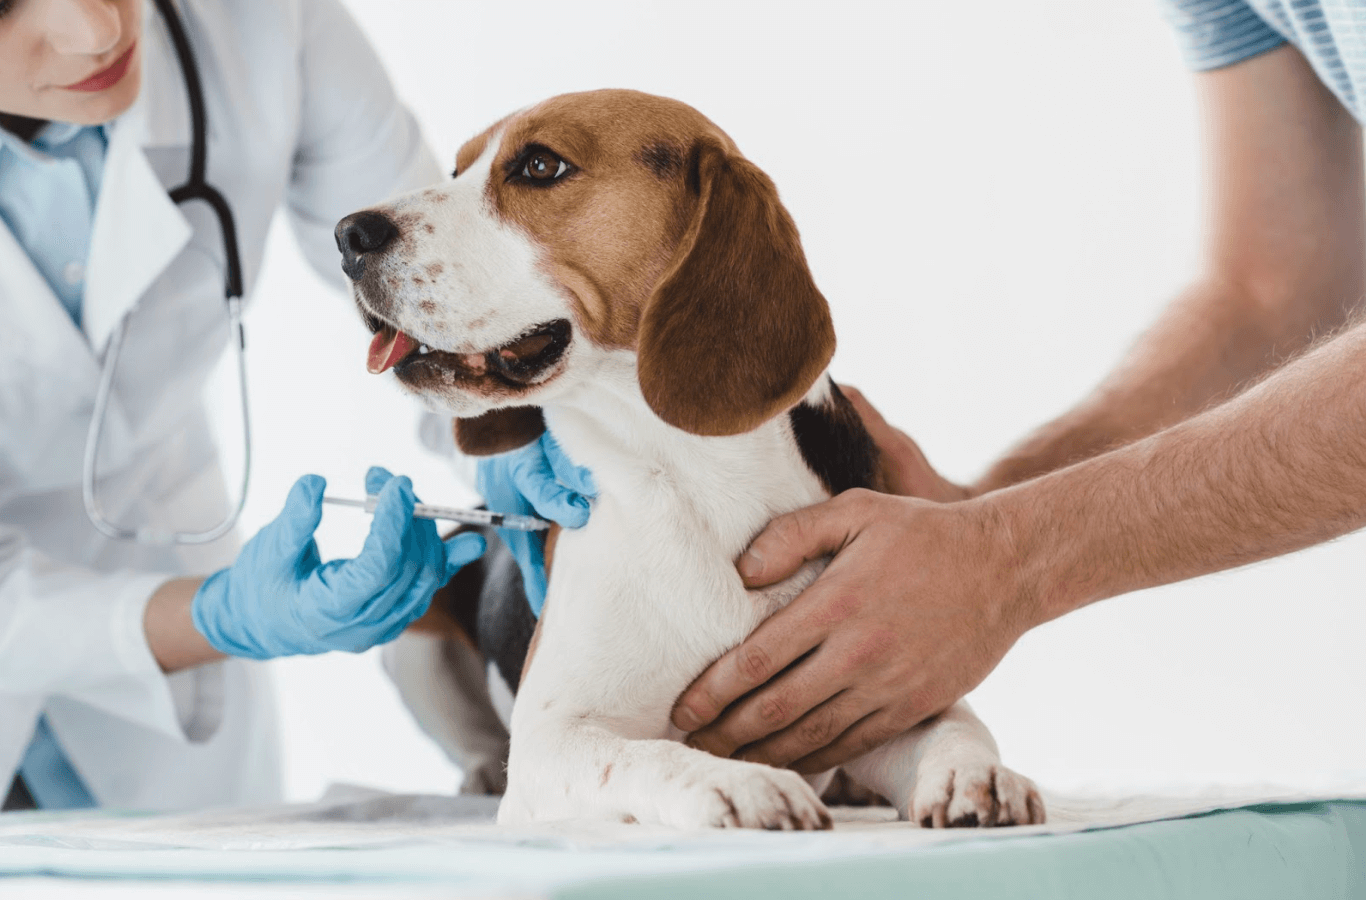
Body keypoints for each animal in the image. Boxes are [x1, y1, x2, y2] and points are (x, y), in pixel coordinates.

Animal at [336, 91, 1038, 830]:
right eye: (456, 169)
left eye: (539, 165)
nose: (349, 234)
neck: (693, 481)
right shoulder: (552, 740)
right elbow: (647, 756)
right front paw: (740, 782)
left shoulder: (880, 680)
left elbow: (956, 726)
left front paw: (977, 775)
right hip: (413, 632)